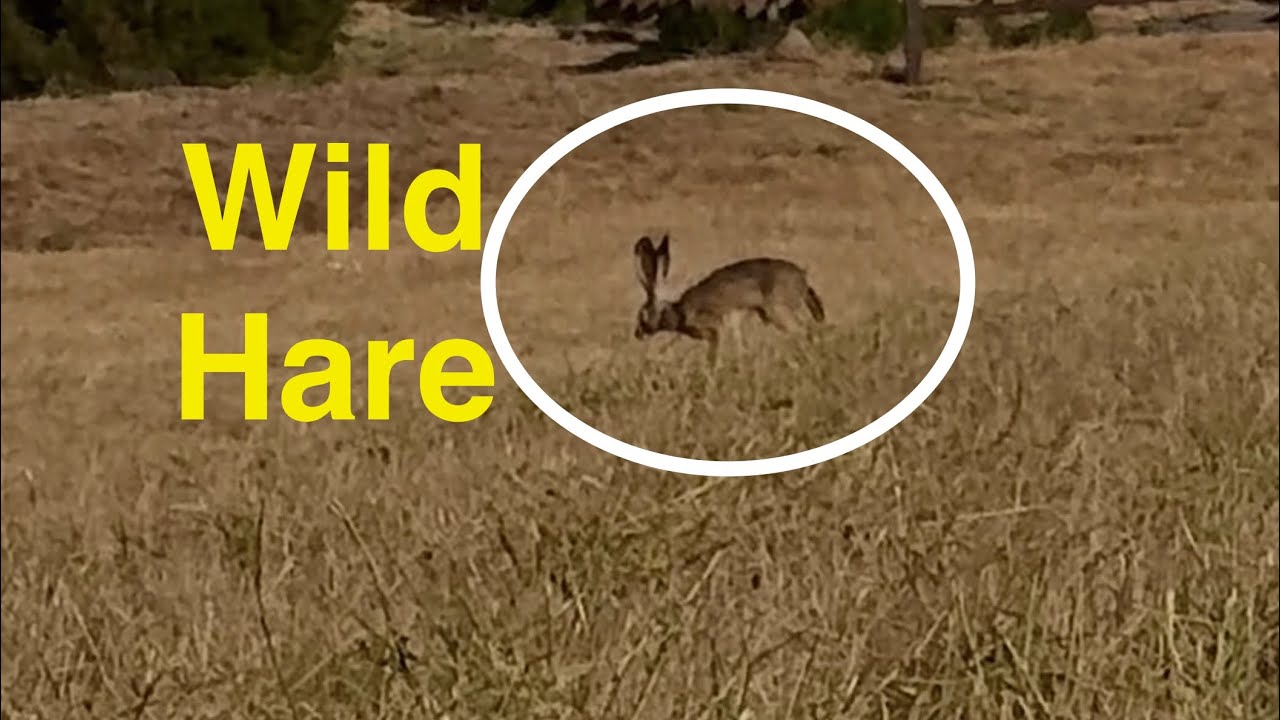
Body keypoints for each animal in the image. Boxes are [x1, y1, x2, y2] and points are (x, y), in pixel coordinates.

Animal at [632, 233, 826, 365]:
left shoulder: (716, 330)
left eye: (643, 314)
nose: (637, 334)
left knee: (804, 331)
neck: (679, 312)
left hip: (777, 312)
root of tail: (802, 279)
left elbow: (714, 356)